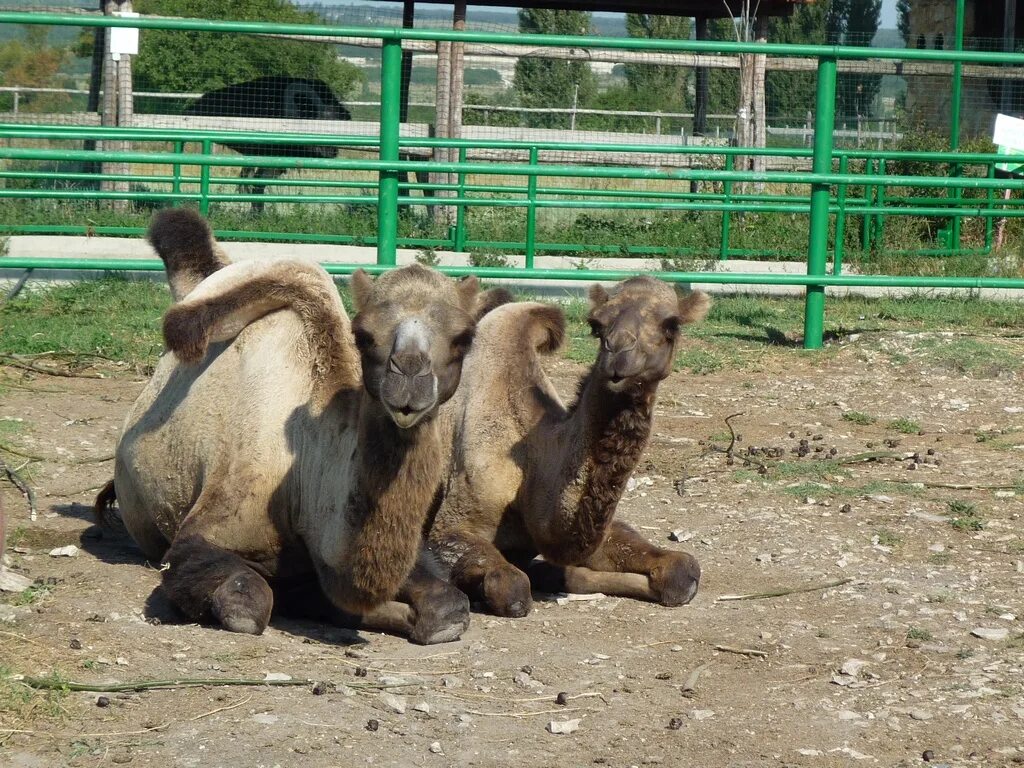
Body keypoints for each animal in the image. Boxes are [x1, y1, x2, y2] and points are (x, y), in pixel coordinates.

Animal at [93, 208, 479, 643]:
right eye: (363, 335)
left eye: (464, 337)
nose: (409, 377)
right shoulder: (211, 524)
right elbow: (248, 602)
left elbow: (449, 608)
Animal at [428, 278, 708, 618]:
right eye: (596, 325)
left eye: (672, 325)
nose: (618, 354)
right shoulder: (450, 525)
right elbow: (510, 587)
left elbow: (683, 569)